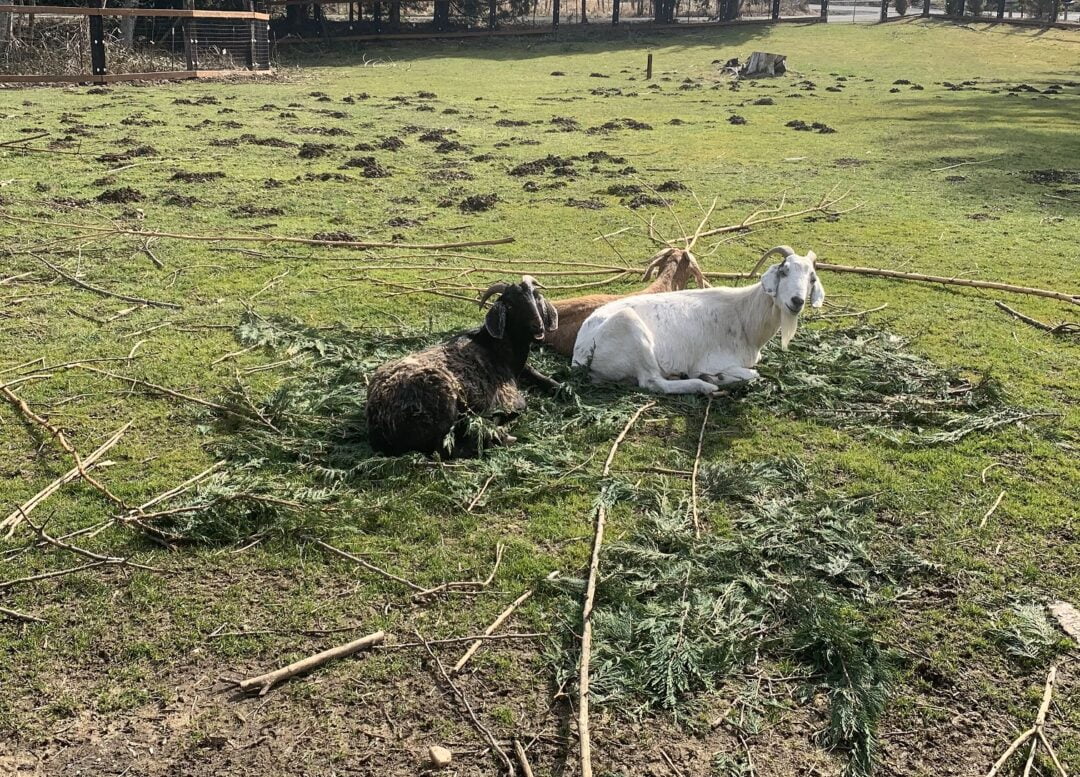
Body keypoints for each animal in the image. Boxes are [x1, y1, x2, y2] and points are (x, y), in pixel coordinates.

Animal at [367, 276, 560, 457]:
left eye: (536, 297)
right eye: (510, 305)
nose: (538, 327)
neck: (493, 346)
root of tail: (379, 423)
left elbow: (537, 373)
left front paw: (559, 387)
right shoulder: (508, 396)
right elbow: (520, 406)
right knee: (444, 448)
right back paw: (496, 435)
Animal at [572, 246, 824, 395]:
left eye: (812, 278)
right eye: (784, 271)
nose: (796, 301)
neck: (744, 317)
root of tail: (579, 352)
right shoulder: (710, 360)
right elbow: (753, 373)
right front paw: (716, 376)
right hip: (629, 329)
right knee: (652, 382)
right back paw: (704, 384)